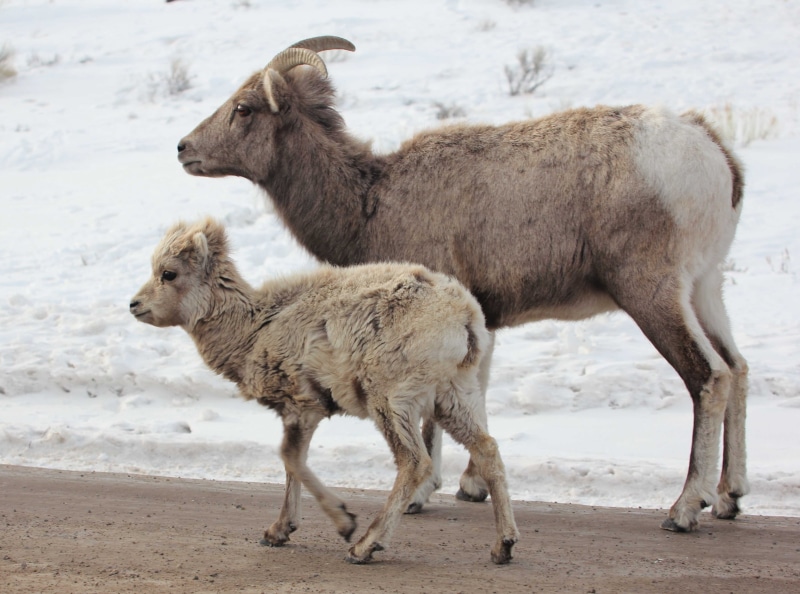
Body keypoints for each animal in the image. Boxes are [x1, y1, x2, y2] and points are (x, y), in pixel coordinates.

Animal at [129, 217, 519, 565]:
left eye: (168, 273)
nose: (134, 305)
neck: (255, 327)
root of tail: (465, 318)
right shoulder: (298, 413)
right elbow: (291, 463)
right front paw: (278, 532)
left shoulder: (303, 406)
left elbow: (290, 458)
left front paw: (342, 523)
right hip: (454, 397)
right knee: (488, 450)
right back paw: (503, 546)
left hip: (393, 401)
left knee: (414, 462)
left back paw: (364, 547)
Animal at [176, 36, 749, 533]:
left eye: (244, 108)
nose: (183, 148)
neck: (370, 201)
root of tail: (714, 155)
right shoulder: (482, 323)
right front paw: (472, 487)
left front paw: (422, 495)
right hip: (705, 289)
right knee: (739, 368)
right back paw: (730, 497)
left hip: (652, 294)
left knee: (709, 377)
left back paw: (685, 509)